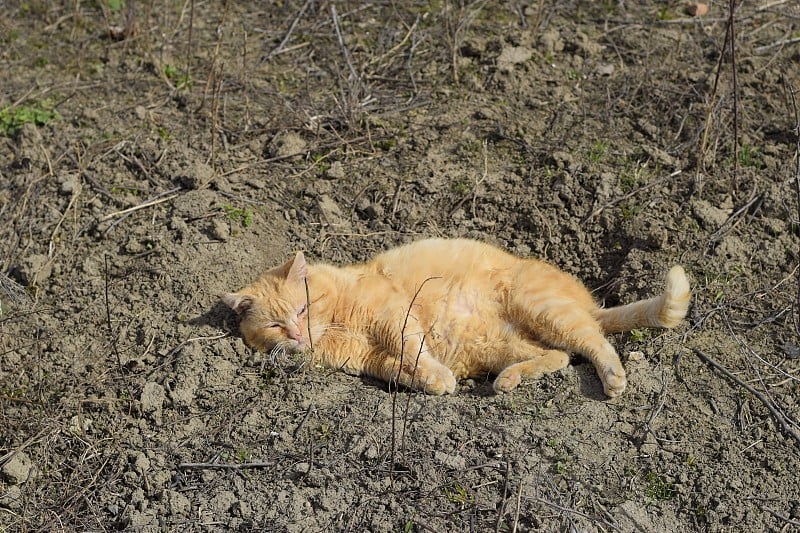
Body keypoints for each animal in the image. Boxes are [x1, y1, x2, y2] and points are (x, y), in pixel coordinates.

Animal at [222, 237, 692, 394]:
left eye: (302, 308)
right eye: (275, 325)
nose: (297, 335)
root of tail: (589, 299)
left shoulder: (394, 317)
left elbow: (411, 349)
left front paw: (436, 376)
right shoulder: (371, 361)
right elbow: (403, 370)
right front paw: (436, 383)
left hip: (542, 308)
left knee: (595, 342)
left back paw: (613, 379)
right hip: (504, 344)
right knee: (559, 356)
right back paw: (510, 380)